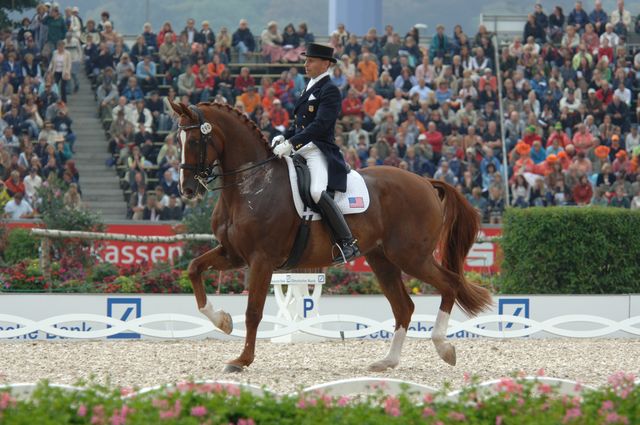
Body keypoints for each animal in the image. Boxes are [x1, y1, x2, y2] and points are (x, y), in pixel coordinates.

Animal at [170, 101, 492, 373]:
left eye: (196, 140)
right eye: (179, 140)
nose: (187, 189)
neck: (252, 184)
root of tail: (425, 182)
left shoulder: (262, 259)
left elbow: (253, 311)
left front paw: (241, 360)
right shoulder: (233, 253)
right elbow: (194, 269)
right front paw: (223, 321)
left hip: (412, 257)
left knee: (449, 285)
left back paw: (443, 348)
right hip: (382, 259)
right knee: (404, 306)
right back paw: (387, 361)